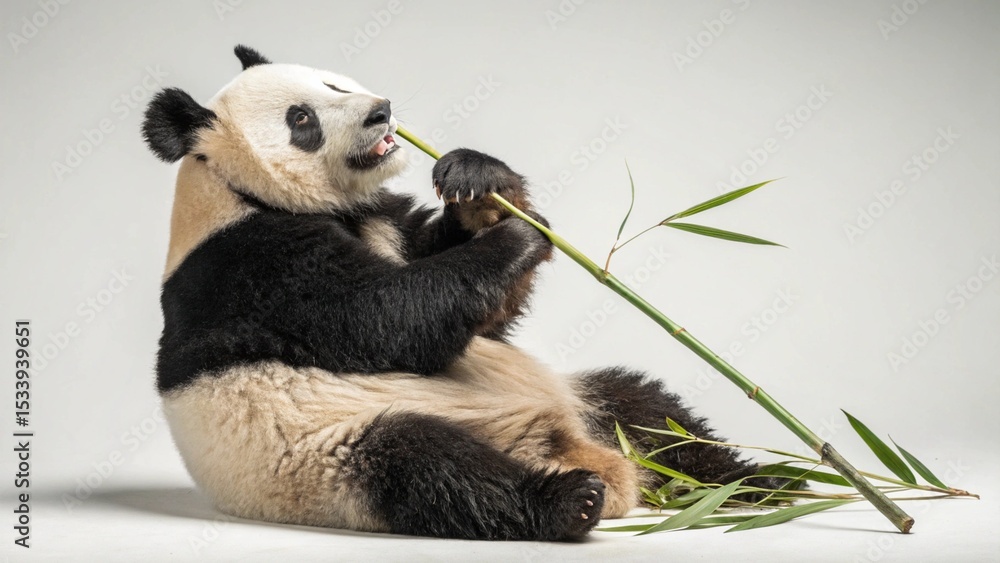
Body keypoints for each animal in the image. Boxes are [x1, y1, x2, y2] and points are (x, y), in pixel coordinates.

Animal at [143, 45, 779, 542]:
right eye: (301, 120)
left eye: (333, 83)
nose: (381, 112)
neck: (236, 189)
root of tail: (565, 447)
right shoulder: (253, 265)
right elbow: (386, 318)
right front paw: (517, 235)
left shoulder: (383, 218)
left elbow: (481, 314)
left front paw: (478, 180)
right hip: (331, 454)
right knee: (433, 470)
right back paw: (569, 502)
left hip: (588, 399)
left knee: (650, 411)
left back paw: (754, 483)